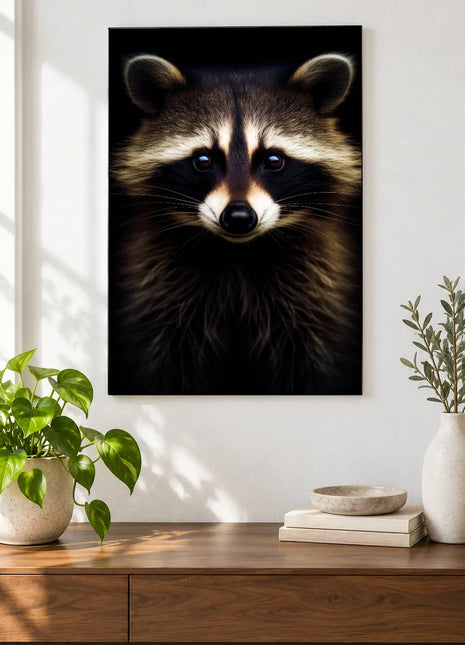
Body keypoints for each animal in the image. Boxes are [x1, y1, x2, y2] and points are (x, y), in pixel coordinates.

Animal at [109, 53, 362, 395]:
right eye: (203, 160)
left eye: (273, 160)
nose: (239, 218)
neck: (238, 255)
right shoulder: (157, 288)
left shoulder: (317, 288)